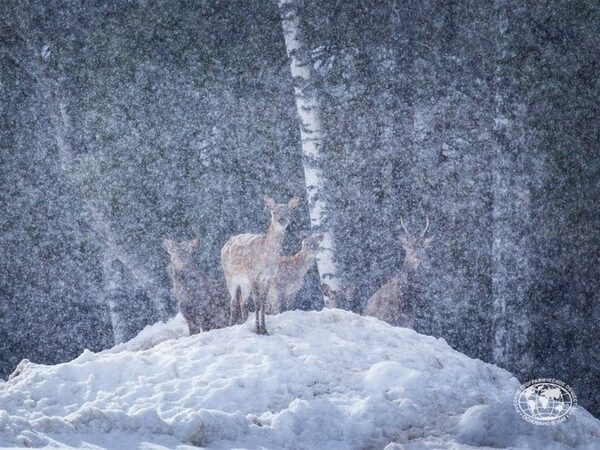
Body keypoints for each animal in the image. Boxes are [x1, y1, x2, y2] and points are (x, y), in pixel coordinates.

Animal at [220, 194, 300, 334]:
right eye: (274, 212)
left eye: (288, 212)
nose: (281, 220)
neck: (265, 257)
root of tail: (225, 244)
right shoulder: (253, 275)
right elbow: (257, 302)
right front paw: (258, 329)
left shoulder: (268, 278)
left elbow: (263, 302)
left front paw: (264, 329)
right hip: (230, 276)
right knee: (233, 301)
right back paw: (232, 326)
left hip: (244, 282)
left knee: (242, 301)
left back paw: (244, 324)